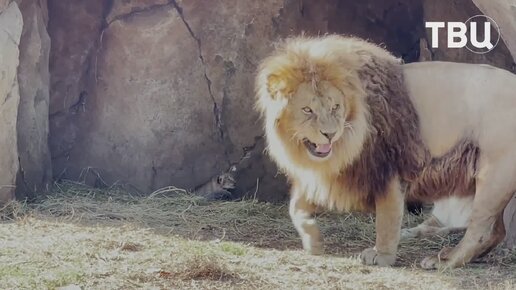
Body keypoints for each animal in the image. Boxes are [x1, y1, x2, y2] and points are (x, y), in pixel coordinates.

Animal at [254, 35, 516, 270]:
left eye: (335, 107)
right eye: (308, 110)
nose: (330, 134)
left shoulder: (387, 168)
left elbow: (387, 219)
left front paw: (382, 256)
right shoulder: (330, 171)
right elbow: (295, 207)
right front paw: (313, 241)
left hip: (493, 175)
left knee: (481, 230)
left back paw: (444, 260)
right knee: (497, 231)